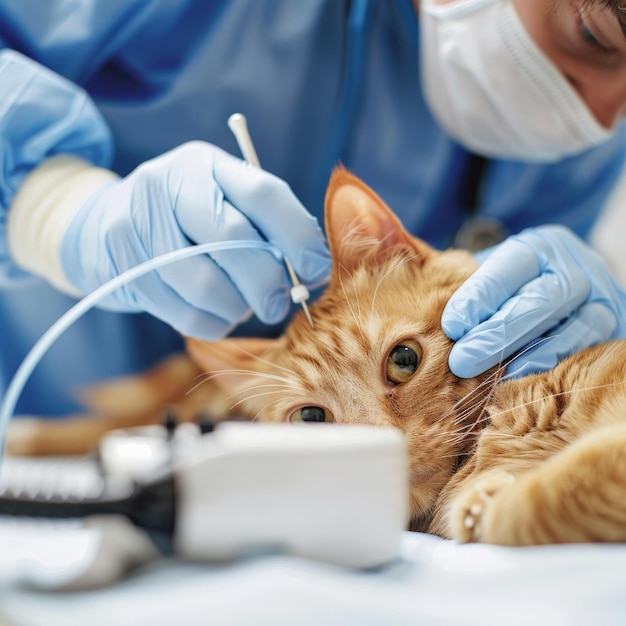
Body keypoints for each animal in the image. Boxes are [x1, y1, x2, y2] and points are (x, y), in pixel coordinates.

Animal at [7, 168, 624, 544]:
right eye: (310, 418)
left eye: (403, 360)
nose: (386, 448)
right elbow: (567, 488)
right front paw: (489, 502)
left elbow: (575, 480)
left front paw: (493, 501)